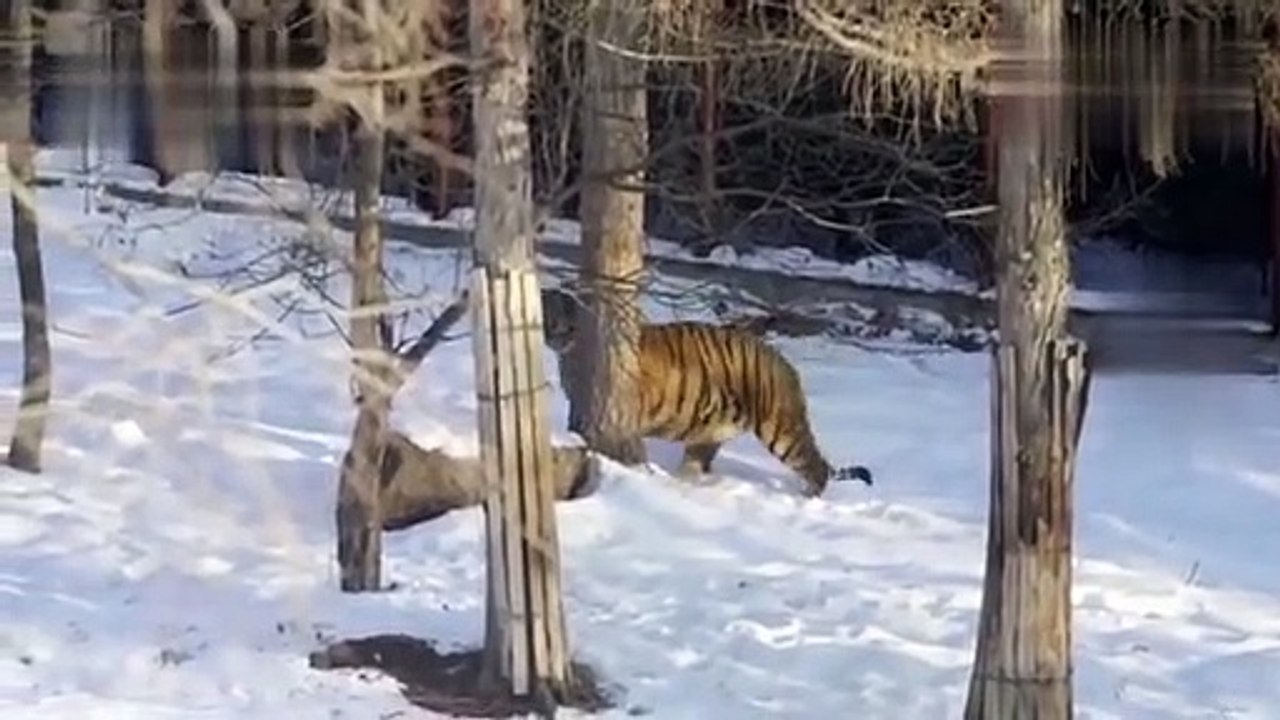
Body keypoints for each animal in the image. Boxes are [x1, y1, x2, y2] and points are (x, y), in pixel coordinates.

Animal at [539, 288, 873, 497]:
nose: (554, 335)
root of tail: (786, 364)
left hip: (780, 429)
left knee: (815, 466)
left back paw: (806, 498)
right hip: (708, 431)